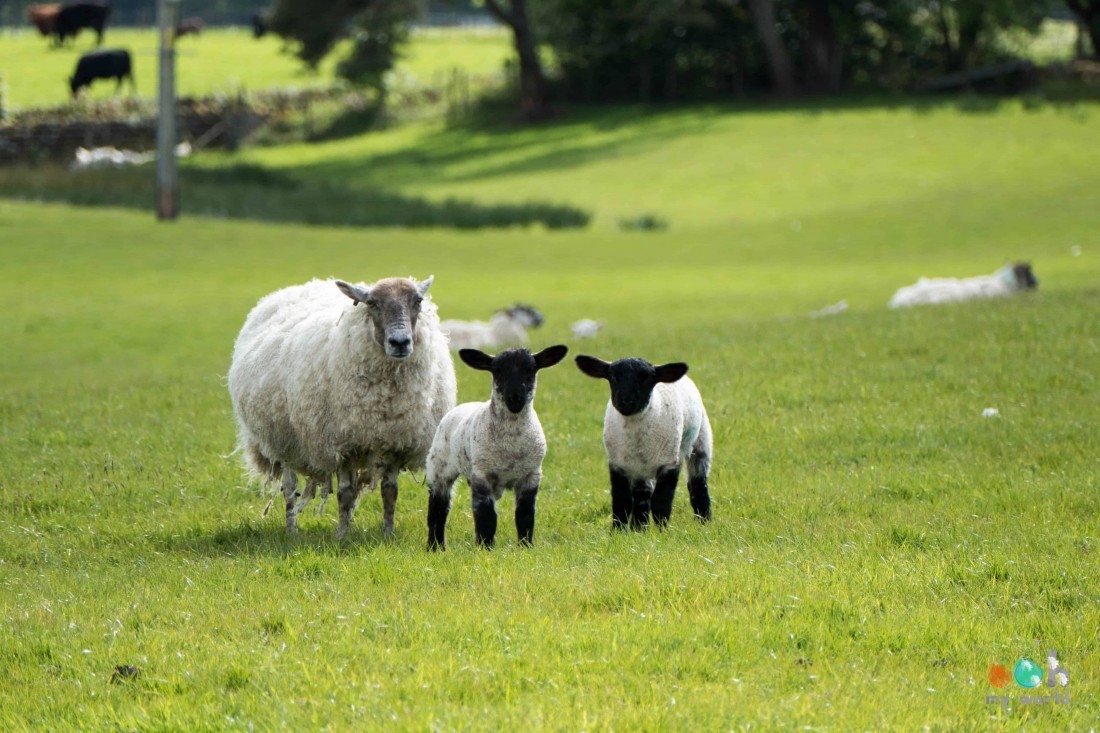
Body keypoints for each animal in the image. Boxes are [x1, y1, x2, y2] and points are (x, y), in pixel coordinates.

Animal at [227, 274, 455, 537]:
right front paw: (342, 536)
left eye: (418, 301)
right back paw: (292, 530)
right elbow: (345, 493)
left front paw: (388, 534)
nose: (400, 342)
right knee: (290, 487)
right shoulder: (344, 442)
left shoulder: (395, 442)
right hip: (284, 441)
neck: (386, 398)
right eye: (372, 304)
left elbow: (390, 491)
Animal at [426, 343, 572, 548]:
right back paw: (435, 547)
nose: (515, 397)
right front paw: (486, 547)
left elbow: (525, 514)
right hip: (439, 468)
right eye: (497, 371)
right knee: (438, 509)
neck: (511, 443)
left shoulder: (531, 475)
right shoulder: (482, 474)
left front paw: (526, 546)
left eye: (530, 369)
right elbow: (486, 515)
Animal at [576, 352, 712, 528]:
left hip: (701, 440)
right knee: (642, 496)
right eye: (612, 377)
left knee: (697, 484)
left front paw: (662, 530)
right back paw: (639, 528)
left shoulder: (669, 463)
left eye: (647, 378)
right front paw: (618, 531)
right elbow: (622, 502)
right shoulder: (618, 465)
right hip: (640, 467)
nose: (626, 400)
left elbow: (661, 502)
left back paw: (704, 521)